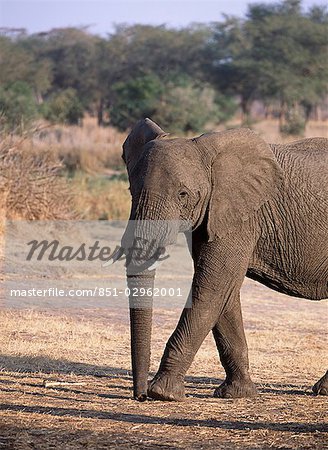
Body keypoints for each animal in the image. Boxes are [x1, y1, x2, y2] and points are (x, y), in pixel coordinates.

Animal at [120, 117, 328, 400]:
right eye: (131, 190)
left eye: (183, 195)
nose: (140, 395)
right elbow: (224, 293)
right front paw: (237, 393)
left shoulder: (241, 217)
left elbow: (213, 286)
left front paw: (164, 393)